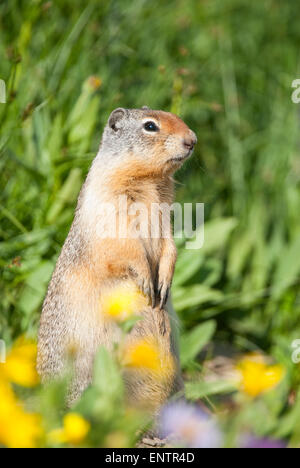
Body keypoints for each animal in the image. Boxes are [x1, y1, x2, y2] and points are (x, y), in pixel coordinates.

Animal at [37, 106, 197, 410]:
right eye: (150, 126)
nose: (192, 140)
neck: (150, 181)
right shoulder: (108, 209)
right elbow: (125, 247)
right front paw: (146, 281)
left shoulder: (166, 217)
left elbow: (169, 246)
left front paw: (164, 282)